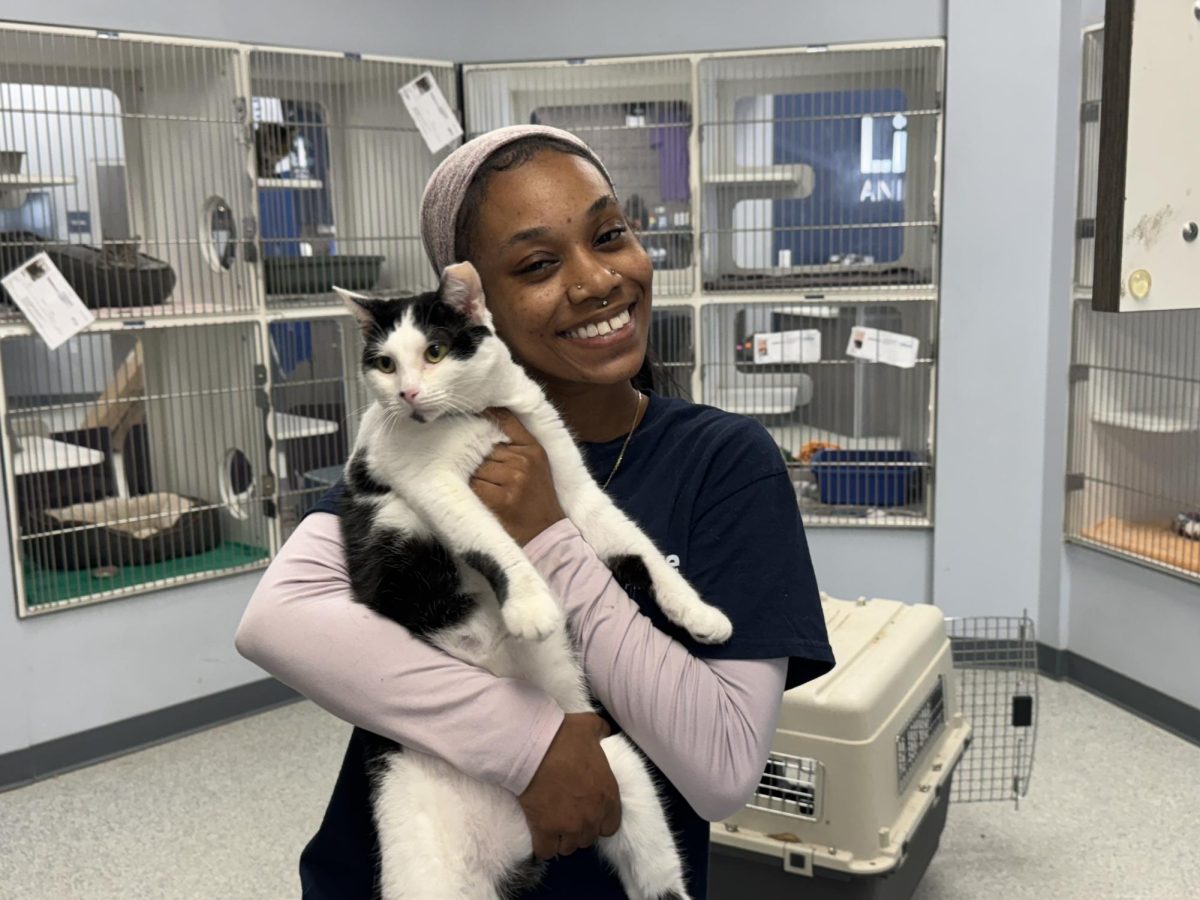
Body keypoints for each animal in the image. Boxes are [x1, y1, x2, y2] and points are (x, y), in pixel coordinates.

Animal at [333, 260, 734, 900]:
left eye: (436, 350)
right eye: (385, 363)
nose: (408, 395)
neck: (482, 411)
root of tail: (517, 846)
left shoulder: (567, 480)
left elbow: (638, 546)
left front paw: (698, 611)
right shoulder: (425, 479)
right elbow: (492, 542)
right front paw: (530, 604)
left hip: (622, 770)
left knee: (660, 881)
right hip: (423, 854)